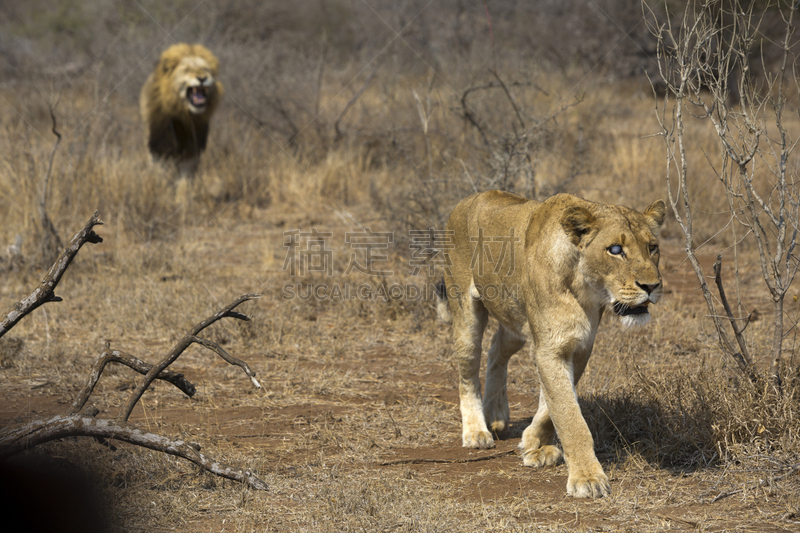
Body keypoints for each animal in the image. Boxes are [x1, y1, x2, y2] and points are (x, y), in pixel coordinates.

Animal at [139, 43, 223, 175]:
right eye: (188, 70)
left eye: (205, 69)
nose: (202, 78)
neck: (184, 114)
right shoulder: (159, 145)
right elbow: (159, 170)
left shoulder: (193, 148)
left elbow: (185, 175)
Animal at [434, 189, 664, 496]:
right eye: (615, 250)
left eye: (652, 247)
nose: (652, 286)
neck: (583, 287)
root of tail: (467, 199)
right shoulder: (550, 349)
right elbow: (569, 416)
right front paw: (587, 478)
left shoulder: (578, 346)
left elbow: (552, 404)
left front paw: (535, 444)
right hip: (466, 313)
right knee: (467, 371)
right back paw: (476, 431)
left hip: (515, 322)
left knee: (496, 350)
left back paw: (496, 414)